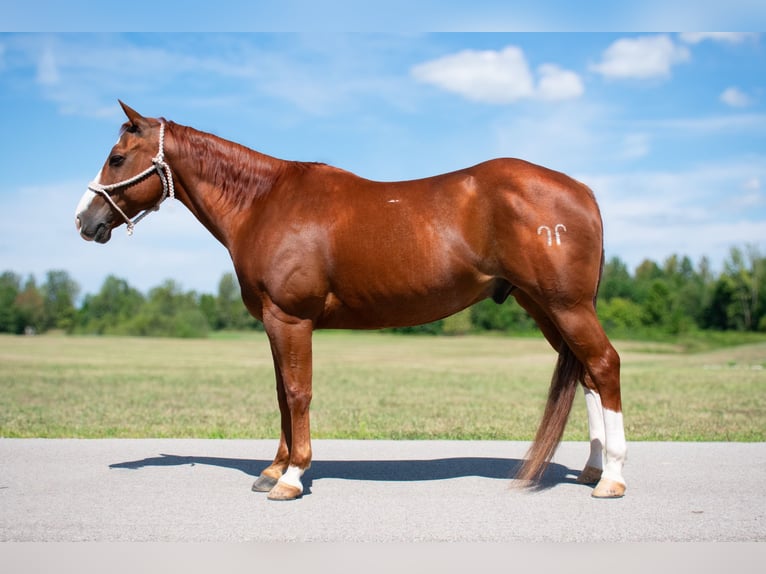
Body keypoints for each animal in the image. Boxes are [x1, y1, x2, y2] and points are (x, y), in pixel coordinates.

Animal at [76, 102, 632, 500]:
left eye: (117, 158)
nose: (84, 220)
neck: (265, 202)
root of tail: (581, 190)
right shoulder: (274, 323)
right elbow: (280, 394)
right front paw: (272, 468)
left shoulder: (291, 319)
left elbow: (297, 393)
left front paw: (291, 477)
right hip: (543, 306)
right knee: (586, 373)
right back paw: (592, 469)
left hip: (567, 305)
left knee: (605, 365)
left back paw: (612, 479)